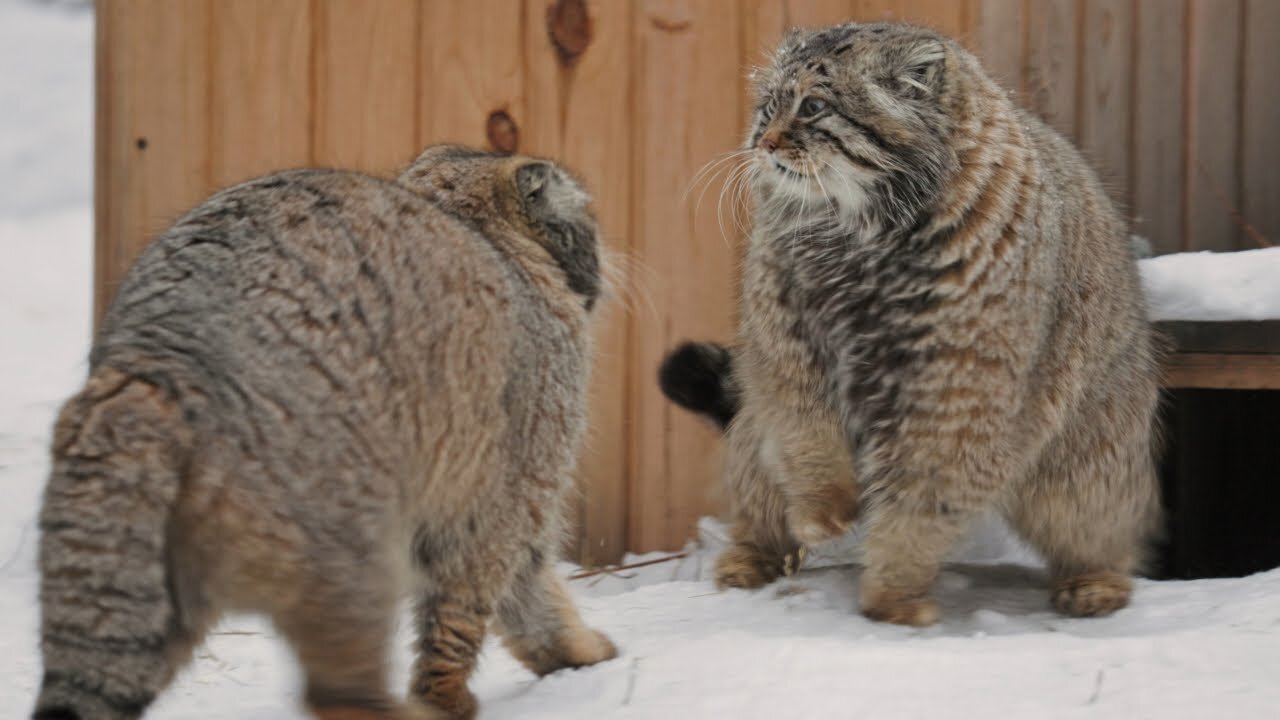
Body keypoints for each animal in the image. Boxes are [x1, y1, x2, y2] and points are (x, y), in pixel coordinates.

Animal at [33, 146, 619, 717]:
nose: (605, 262)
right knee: (339, 695)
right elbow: (476, 608)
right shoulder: (510, 492)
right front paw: (452, 694)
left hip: (137, 578)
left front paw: (576, 652)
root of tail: (158, 365)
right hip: (354, 545)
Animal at [665, 23, 1167, 622]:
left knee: (1100, 533)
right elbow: (807, 440)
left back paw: (1096, 583)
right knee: (759, 498)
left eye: (813, 106)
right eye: (768, 105)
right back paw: (752, 560)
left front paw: (894, 593)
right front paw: (826, 509)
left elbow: (921, 504)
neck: (860, 237)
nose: (761, 143)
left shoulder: (957, 396)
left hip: (1082, 475)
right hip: (750, 441)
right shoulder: (786, 348)